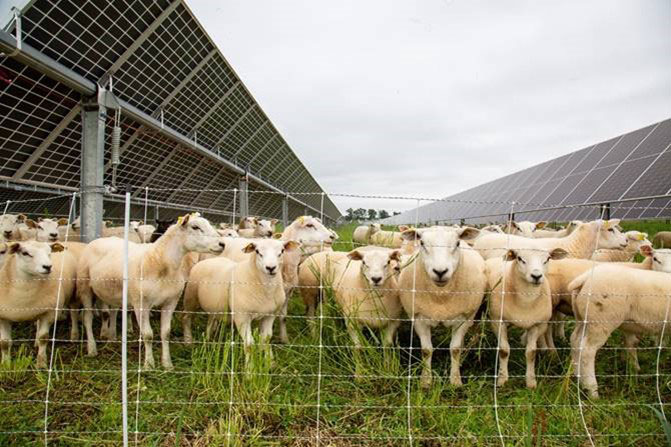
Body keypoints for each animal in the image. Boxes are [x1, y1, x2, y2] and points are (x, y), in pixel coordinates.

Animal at [76, 213, 224, 369]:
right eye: (195, 227)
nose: (222, 244)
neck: (160, 262)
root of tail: (99, 240)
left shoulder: (171, 302)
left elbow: (166, 333)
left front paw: (167, 364)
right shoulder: (141, 304)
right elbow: (148, 335)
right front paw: (149, 364)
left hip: (112, 291)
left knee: (112, 312)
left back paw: (111, 337)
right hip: (84, 286)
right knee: (87, 317)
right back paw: (92, 348)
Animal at [397, 226, 486, 387]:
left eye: (457, 243)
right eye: (422, 243)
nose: (440, 272)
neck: (440, 297)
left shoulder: (464, 319)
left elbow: (455, 349)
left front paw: (455, 381)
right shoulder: (418, 318)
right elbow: (426, 350)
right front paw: (426, 381)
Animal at [486, 247, 568, 388]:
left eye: (547, 259)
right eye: (520, 258)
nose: (536, 276)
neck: (526, 300)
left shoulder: (537, 325)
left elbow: (531, 353)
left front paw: (531, 382)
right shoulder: (497, 321)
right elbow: (504, 350)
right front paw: (502, 379)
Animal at [568, 265, 671, 398]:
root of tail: (585, 278)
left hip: (583, 319)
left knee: (575, 341)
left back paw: (579, 378)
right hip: (601, 321)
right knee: (587, 350)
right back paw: (592, 390)